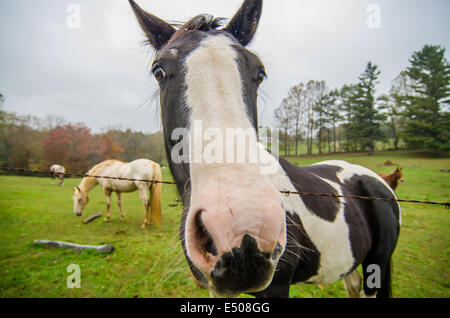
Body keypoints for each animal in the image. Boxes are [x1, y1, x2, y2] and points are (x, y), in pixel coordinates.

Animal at [128, 0, 400, 298]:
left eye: (259, 73)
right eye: (159, 71)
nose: (242, 235)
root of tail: (380, 182)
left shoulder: (276, 287)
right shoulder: (217, 289)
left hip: (377, 265)